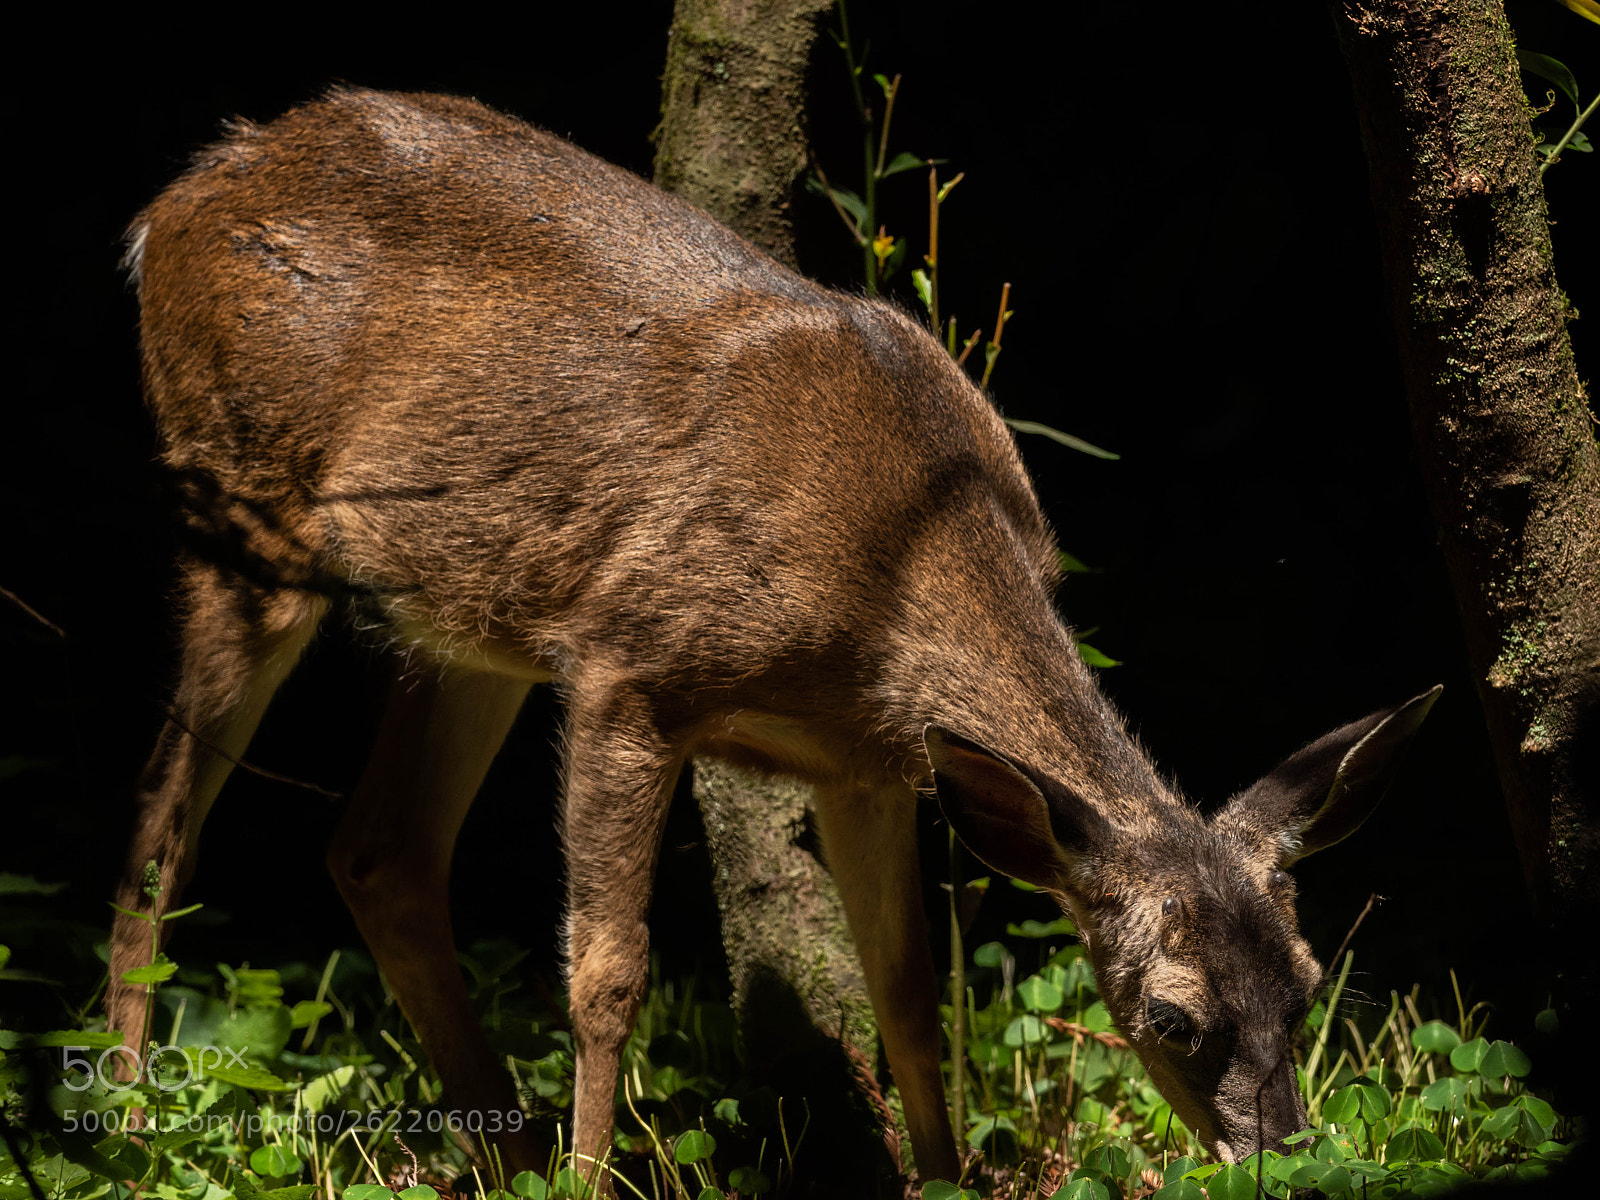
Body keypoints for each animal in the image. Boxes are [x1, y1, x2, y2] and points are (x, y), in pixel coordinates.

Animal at [107, 86, 1440, 1190]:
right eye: (1169, 1019)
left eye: (1306, 989)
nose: (1284, 1158)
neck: (890, 571)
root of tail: (173, 205)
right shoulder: (627, 666)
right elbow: (608, 972)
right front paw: (593, 1181)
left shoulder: (872, 763)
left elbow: (907, 993)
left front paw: (945, 1178)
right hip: (241, 508)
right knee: (159, 824)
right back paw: (128, 1122)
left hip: (469, 620)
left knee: (378, 851)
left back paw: (504, 1146)